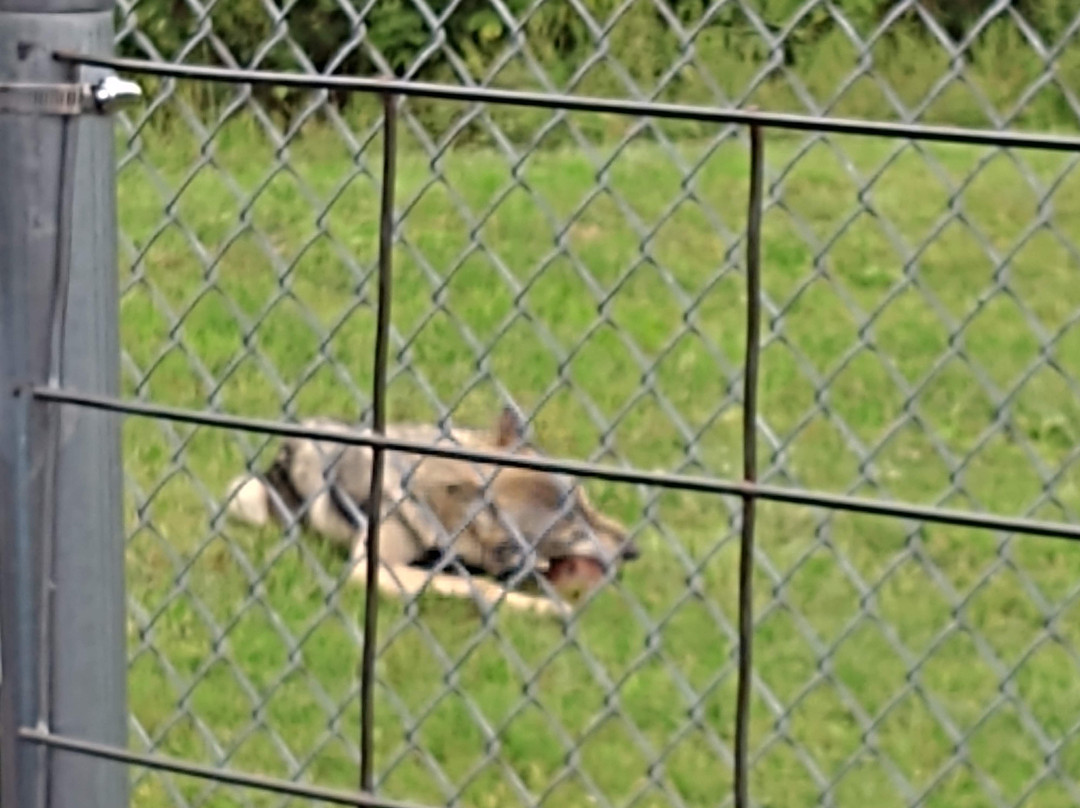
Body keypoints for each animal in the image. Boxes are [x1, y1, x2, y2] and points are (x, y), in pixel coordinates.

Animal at [223, 407, 639, 618]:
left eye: (586, 503)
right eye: (572, 530)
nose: (635, 550)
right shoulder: (369, 567)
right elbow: (479, 585)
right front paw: (542, 607)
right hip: (247, 497)